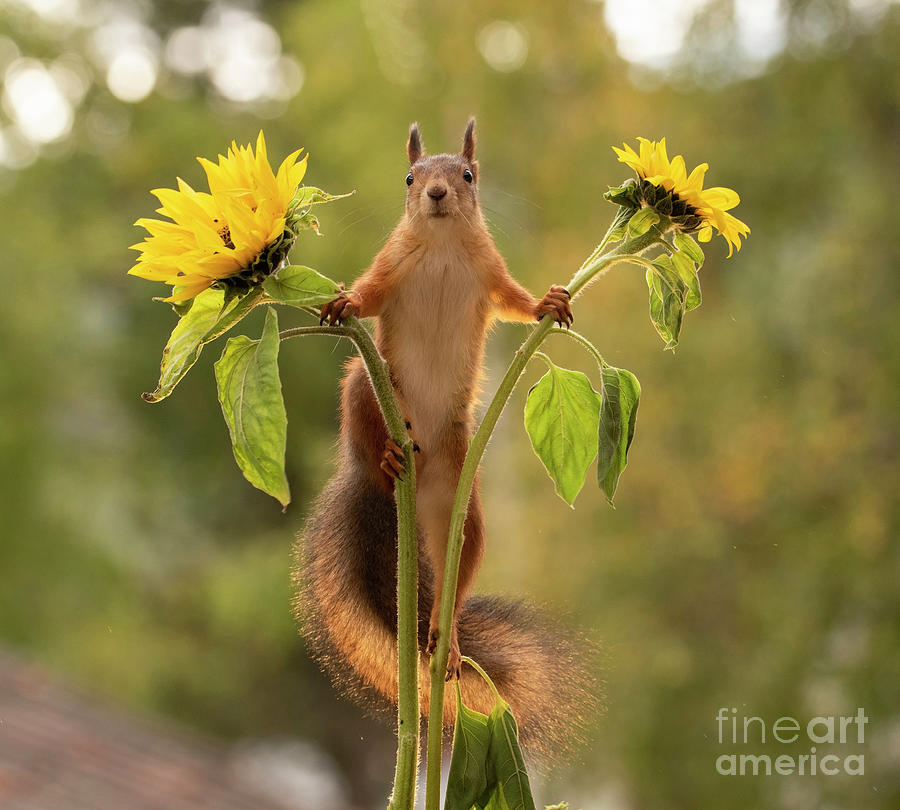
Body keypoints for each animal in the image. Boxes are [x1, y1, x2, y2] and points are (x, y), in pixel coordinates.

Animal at [296, 121, 592, 752]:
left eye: (468, 175)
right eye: (410, 177)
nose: (435, 194)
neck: (441, 246)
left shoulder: (490, 271)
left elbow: (516, 301)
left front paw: (549, 302)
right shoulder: (390, 265)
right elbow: (370, 293)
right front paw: (345, 300)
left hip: (461, 503)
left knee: (457, 575)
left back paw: (445, 638)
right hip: (367, 382)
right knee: (360, 418)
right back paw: (384, 453)